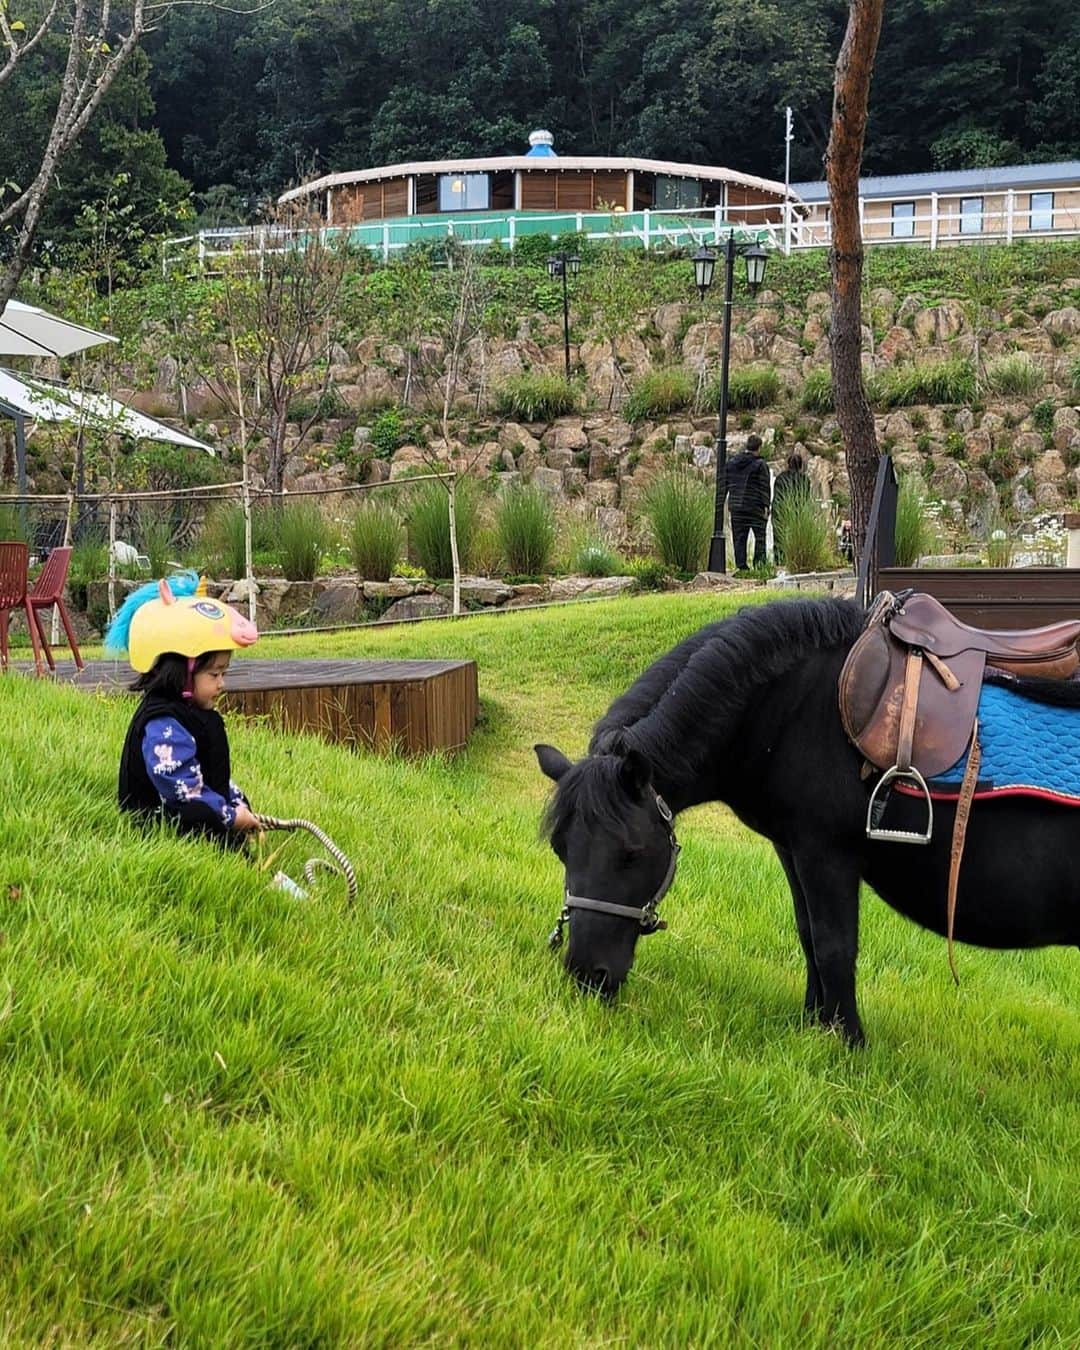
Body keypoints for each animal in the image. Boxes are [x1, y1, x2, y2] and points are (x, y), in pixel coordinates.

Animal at [537, 596, 1080, 1047]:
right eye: (561, 850)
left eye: (632, 853)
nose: (586, 976)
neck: (793, 708)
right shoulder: (794, 848)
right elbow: (809, 937)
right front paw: (815, 1025)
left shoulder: (827, 855)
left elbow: (836, 946)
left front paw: (848, 1042)